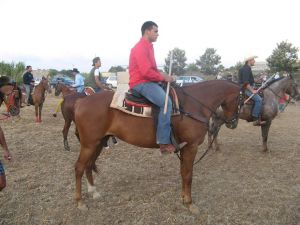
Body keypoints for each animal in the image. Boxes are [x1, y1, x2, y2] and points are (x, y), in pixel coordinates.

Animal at [74, 80, 243, 213]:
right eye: (241, 99)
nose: (233, 123)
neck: (194, 105)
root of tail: (80, 102)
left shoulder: (184, 148)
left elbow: (183, 173)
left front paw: (183, 198)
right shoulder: (191, 146)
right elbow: (188, 175)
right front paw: (190, 203)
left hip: (98, 143)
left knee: (88, 165)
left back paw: (94, 192)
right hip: (89, 144)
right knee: (79, 168)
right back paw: (80, 202)